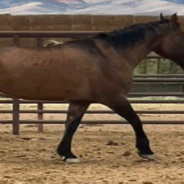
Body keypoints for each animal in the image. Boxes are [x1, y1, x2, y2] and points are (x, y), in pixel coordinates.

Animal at [0, 12, 184, 162]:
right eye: (182, 35)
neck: (108, 55)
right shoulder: (114, 98)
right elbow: (135, 119)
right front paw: (146, 151)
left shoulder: (80, 101)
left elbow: (71, 125)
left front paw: (67, 154)